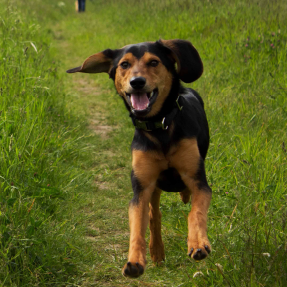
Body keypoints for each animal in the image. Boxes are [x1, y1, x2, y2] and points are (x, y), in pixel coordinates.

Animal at [67, 38, 212, 280]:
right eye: (124, 65)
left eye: (153, 62)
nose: (137, 82)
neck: (160, 126)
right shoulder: (142, 188)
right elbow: (137, 228)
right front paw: (134, 261)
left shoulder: (198, 180)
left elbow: (196, 213)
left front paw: (198, 244)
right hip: (153, 190)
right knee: (154, 217)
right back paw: (156, 252)